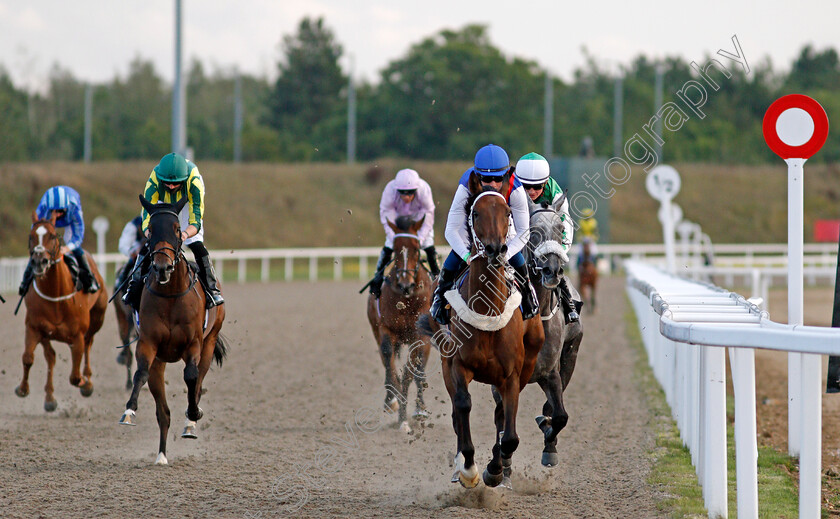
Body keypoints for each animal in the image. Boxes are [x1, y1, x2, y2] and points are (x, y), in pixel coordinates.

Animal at [15, 210, 108, 410]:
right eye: (31, 236)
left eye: (52, 235)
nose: (39, 262)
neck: (55, 295)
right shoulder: (34, 327)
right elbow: (28, 357)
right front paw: (23, 389)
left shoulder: (77, 336)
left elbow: (74, 376)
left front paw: (84, 382)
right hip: (46, 333)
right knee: (50, 356)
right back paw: (50, 398)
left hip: (97, 319)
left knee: (89, 344)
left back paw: (87, 382)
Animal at [118, 197, 228, 466]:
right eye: (151, 230)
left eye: (177, 229)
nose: (163, 267)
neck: (170, 296)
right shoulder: (148, 343)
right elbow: (140, 373)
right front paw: (129, 410)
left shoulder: (193, 344)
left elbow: (191, 377)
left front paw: (193, 414)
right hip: (159, 361)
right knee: (163, 412)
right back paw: (161, 455)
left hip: (209, 342)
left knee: (198, 379)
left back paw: (190, 422)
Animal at [366, 215, 434, 434]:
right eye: (395, 250)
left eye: (417, 248)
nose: (405, 285)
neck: (407, 299)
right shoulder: (385, 330)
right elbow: (390, 365)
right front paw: (394, 402)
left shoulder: (420, 336)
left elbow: (411, 371)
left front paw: (408, 416)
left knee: (420, 370)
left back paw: (420, 410)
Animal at [420, 181, 544, 490]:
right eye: (475, 213)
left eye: (508, 212)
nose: (495, 249)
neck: (487, 308)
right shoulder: (457, 365)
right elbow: (463, 406)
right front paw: (468, 469)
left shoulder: (512, 376)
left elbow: (509, 435)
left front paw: (495, 470)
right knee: (457, 412)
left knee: (501, 417)